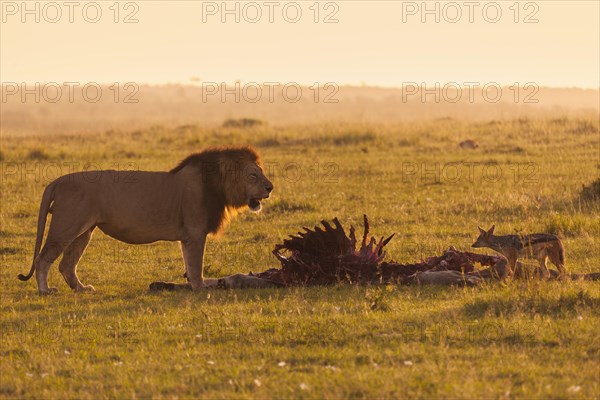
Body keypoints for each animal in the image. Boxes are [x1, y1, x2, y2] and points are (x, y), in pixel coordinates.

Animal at [17, 147, 274, 294]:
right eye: (253, 175)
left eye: (261, 172)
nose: (270, 187)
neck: (218, 186)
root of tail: (57, 181)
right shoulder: (195, 234)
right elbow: (196, 266)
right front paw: (201, 288)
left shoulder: (188, 237)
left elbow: (190, 266)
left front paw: (193, 286)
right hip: (66, 227)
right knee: (43, 259)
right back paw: (45, 290)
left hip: (84, 231)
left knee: (66, 265)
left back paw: (82, 289)